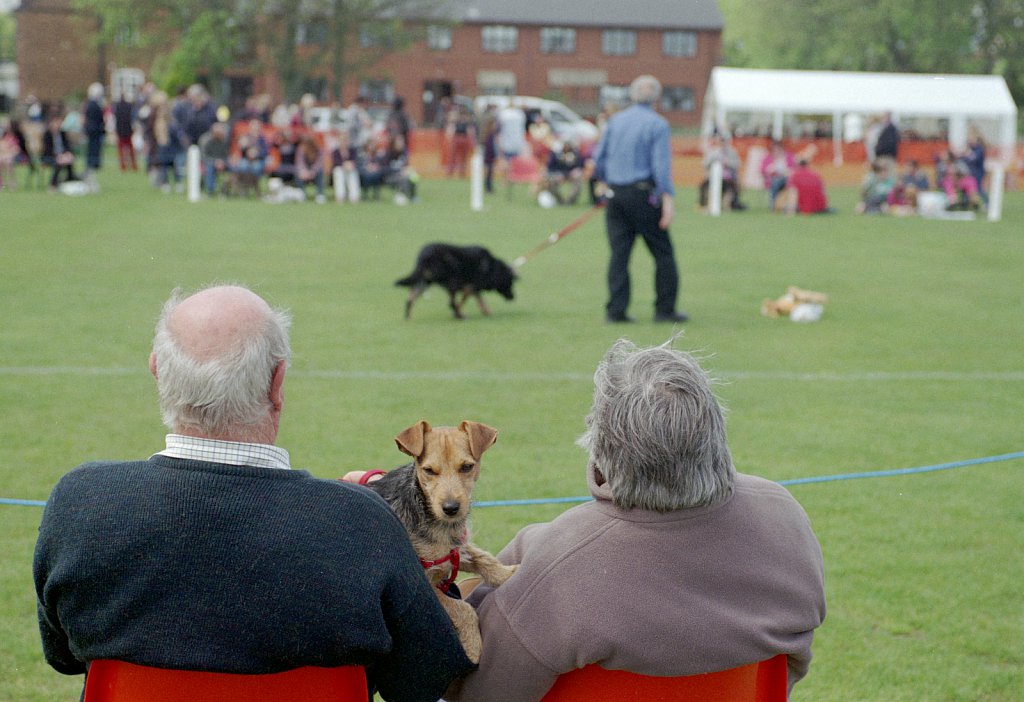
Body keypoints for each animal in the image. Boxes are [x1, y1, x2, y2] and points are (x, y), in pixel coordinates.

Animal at [362, 423, 520, 667]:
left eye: (467, 467)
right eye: (429, 470)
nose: (451, 508)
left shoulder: (455, 550)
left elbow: (483, 558)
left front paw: (509, 573)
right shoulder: (426, 586)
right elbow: (463, 608)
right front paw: (473, 648)